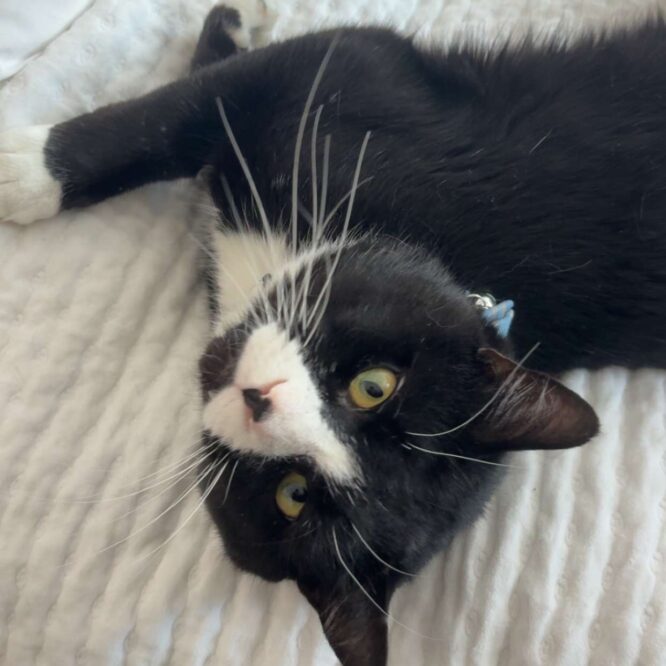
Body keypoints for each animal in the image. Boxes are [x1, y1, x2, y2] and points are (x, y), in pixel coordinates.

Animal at [2, 3, 666, 664]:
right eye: (375, 387)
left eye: (292, 494)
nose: (259, 399)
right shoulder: (351, 72)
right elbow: (173, 114)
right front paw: (25, 173)